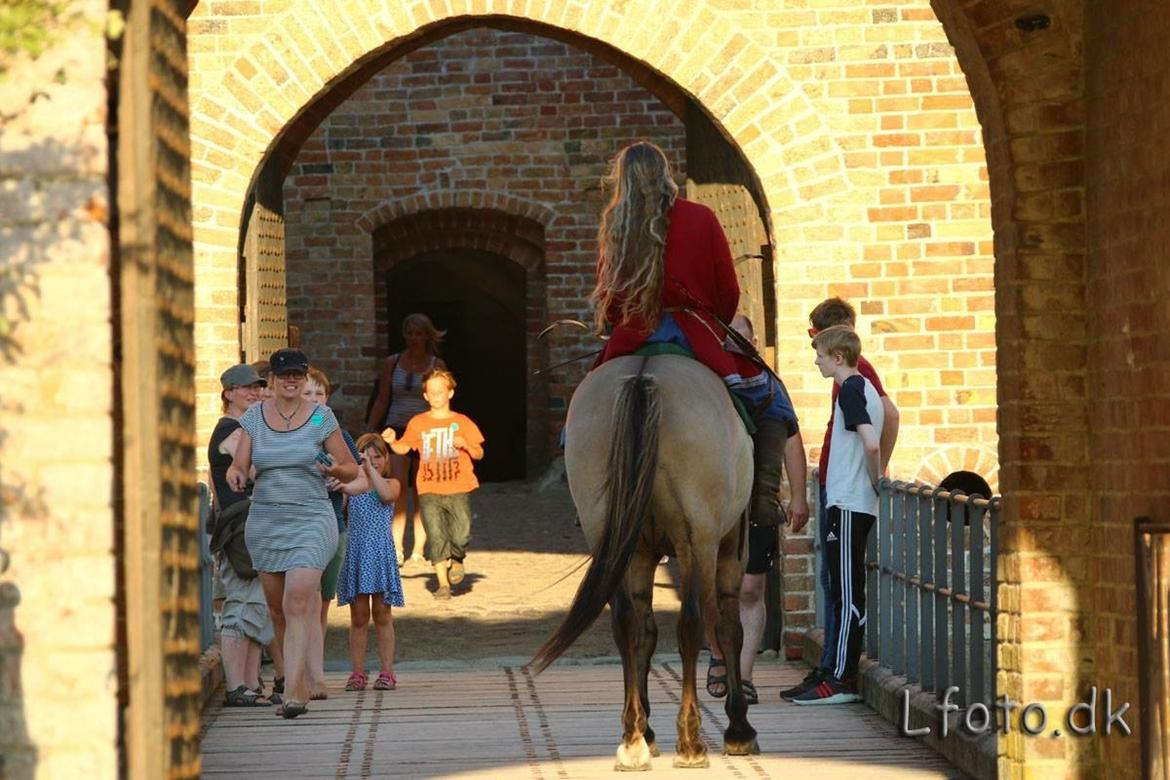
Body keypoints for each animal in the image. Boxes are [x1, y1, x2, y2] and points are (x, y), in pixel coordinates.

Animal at [533, 357, 758, 771]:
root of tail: (644, 374)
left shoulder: (640, 554)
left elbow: (646, 633)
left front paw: (646, 728)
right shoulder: (730, 548)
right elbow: (729, 631)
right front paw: (738, 728)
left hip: (613, 538)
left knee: (626, 624)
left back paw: (633, 739)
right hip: (696, 542)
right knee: (691, 625)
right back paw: (691, 741)